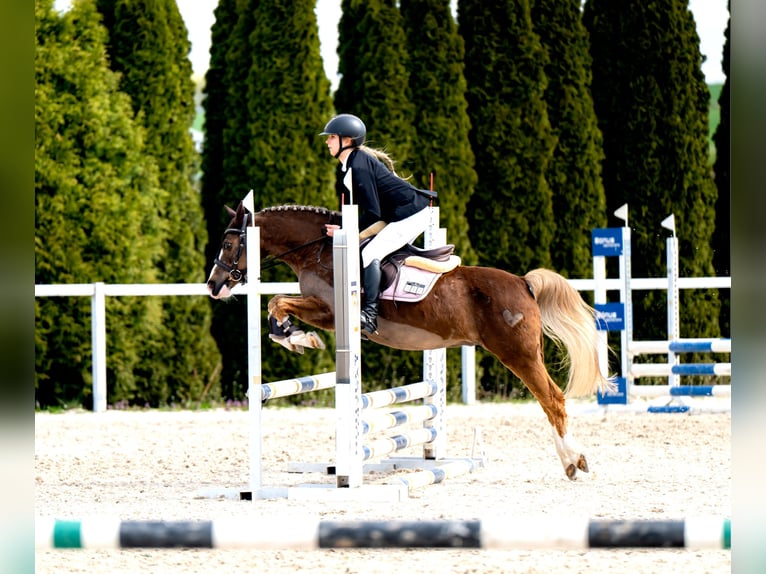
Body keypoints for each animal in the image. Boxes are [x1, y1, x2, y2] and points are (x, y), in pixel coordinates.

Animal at [207, 202, 613, 480]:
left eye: (228, 243)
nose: (214, 285)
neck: (317, 251)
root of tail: (523, 282)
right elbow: (277, 304)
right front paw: (294, 337)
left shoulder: (330, 312)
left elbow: (277, 302)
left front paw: (299, 339)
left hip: (518, 354)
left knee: (552, 400)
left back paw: (573, 462)